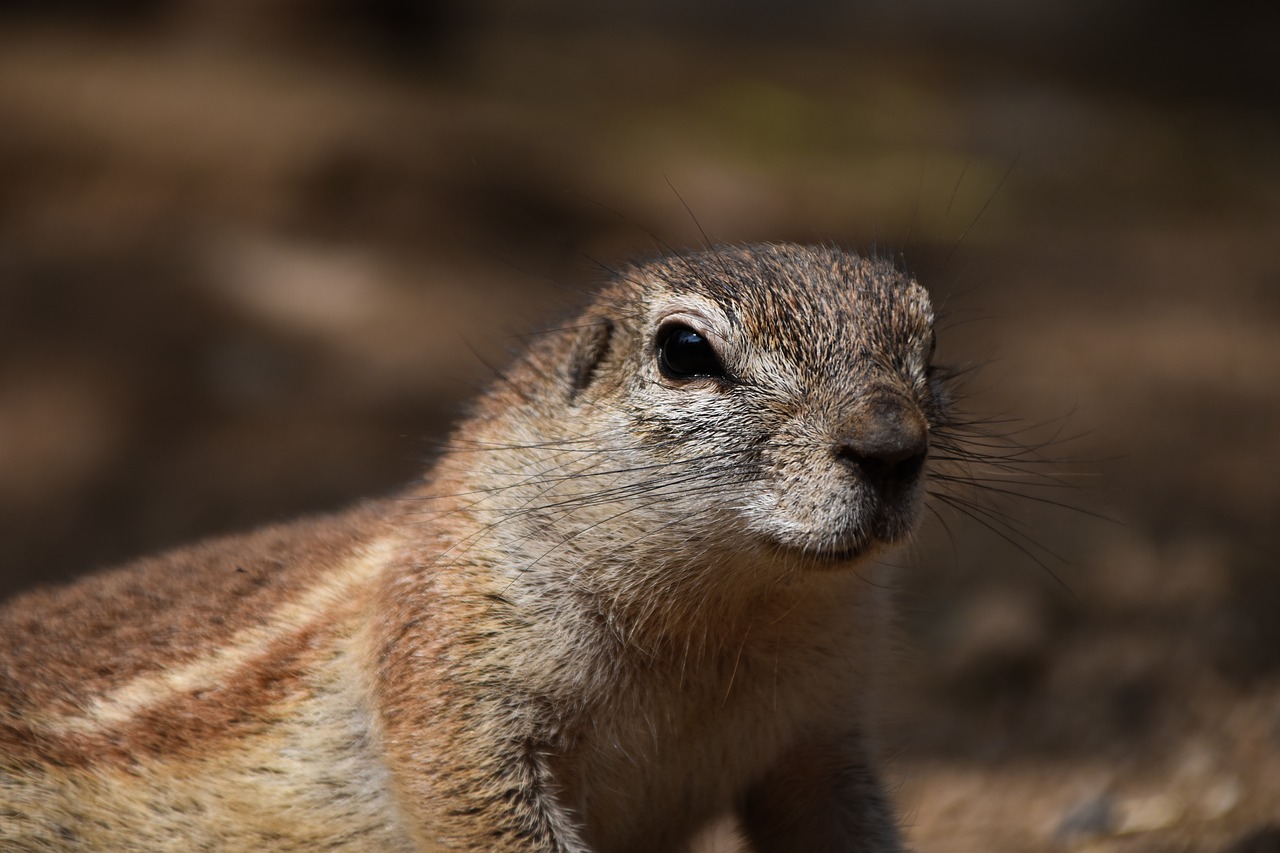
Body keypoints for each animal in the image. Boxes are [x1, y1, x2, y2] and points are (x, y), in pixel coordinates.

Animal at [0, 242, 952, 845]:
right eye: (684, 350)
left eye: (929, 346)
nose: (891, 443)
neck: (727, 620)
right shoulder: (452, 675)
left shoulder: (821, 739)